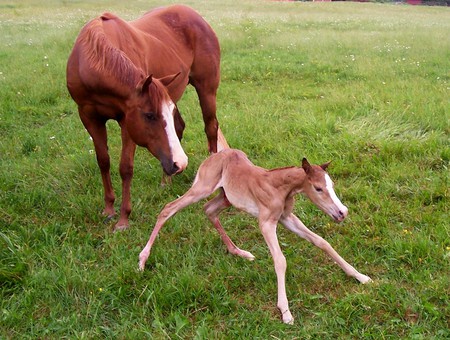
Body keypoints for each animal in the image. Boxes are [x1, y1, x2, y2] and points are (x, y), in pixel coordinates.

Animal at [66, 3, 229, 230]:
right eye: (150, 115)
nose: (180, 163)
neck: (90, 62)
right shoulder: (89, 117)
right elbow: (103, 161)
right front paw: (108, 209)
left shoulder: (126, 120)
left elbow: (125, 167)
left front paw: (123, 219)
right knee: (180, 128)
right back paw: (166, 181)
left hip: (207, 89)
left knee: (211, 127)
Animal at [139, 149, 370, 324]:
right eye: (318, 188)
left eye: (332, 186)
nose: (342, 212)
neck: (280, 187)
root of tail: (213, 156)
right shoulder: (266, 223)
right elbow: (280, 260)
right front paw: (285, 312)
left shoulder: (287, 218)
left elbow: (321, 242)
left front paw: (360, 276)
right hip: (202, 187)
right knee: (169, 208)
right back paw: (142, 259)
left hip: (226, 197)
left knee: (209, 210)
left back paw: (239, 252)